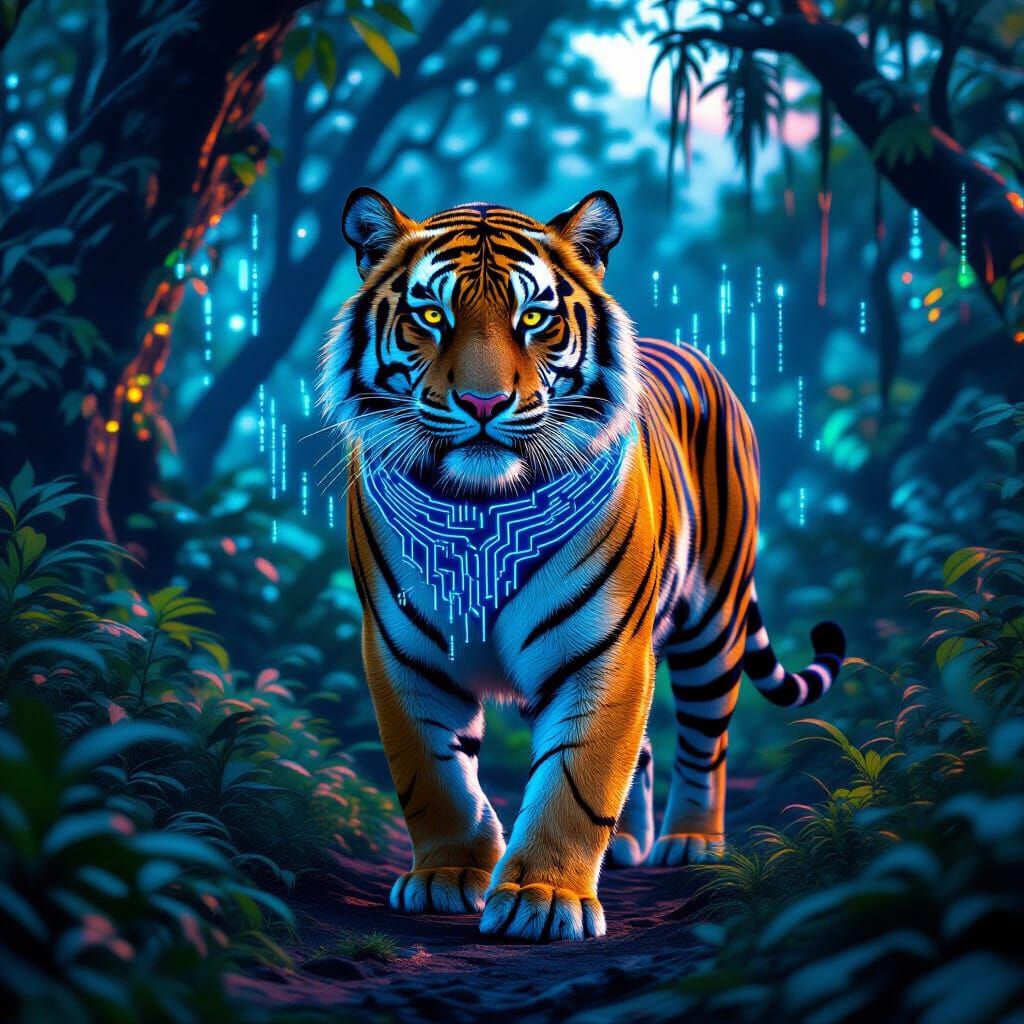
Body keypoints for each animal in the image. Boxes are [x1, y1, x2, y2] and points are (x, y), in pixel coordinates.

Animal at [316, 187, 845, 943]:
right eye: (432, 315)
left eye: (534, 317)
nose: (483, 403)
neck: (480, 508)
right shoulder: (401, 648)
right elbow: (433, 774)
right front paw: (448, 874)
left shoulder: (605, 649)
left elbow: (577, 777)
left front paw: (542, 899)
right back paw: (626, 847)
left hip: (712, 623)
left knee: (705, 740)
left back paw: (690, 843)